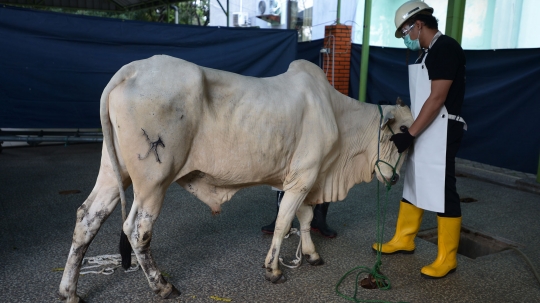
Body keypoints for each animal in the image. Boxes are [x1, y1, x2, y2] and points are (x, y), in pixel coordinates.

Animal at [58, 55, 414, 302]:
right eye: (400, 137)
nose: (395, 179)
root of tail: (131, 69)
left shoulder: (306, 178)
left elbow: (305, 218)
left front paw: (312, 254)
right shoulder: (304, 176)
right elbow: (285, 221)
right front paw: (273, 270)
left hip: (113, 170)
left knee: (87, 217)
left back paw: (69, 291)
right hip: (153, 180)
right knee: (136, 229)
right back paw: (162, 285)